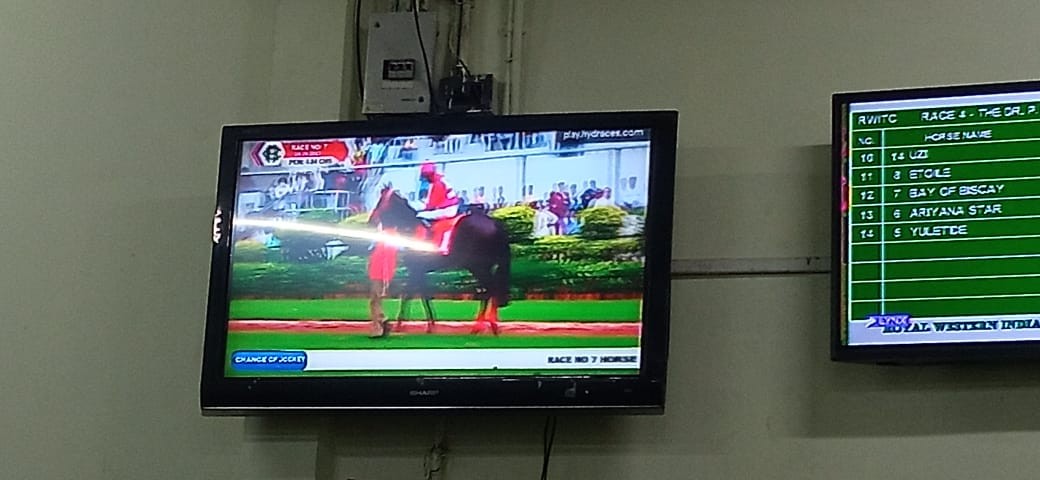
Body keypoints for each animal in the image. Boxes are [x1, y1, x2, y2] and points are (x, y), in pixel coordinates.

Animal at [368, 187, 511, 335]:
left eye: (381, 202)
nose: (371, 220)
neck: (411, 229)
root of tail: (494, 224)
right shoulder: (419, 271)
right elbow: (423, 294)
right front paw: (431, 324)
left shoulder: (415, 269)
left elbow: (408, 294)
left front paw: (399, 325)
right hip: (483, 266)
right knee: (489, 291)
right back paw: (488, 326)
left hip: (477, 266)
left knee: (490, 290)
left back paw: (482, 326)